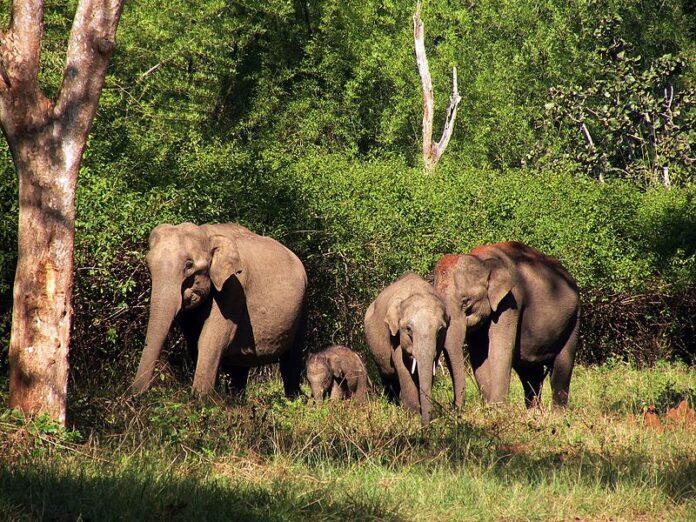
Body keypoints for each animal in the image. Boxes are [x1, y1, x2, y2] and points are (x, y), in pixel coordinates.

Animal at [132, 221, 306, 396]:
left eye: (189, 265)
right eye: (148, 265)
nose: (137, 395)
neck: (207, 233)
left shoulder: (233, 287)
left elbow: (211, 340)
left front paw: (201, 399)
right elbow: (194, 341)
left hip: (301, 310)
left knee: (291, 361)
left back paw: (293, 397)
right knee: (239, 367)